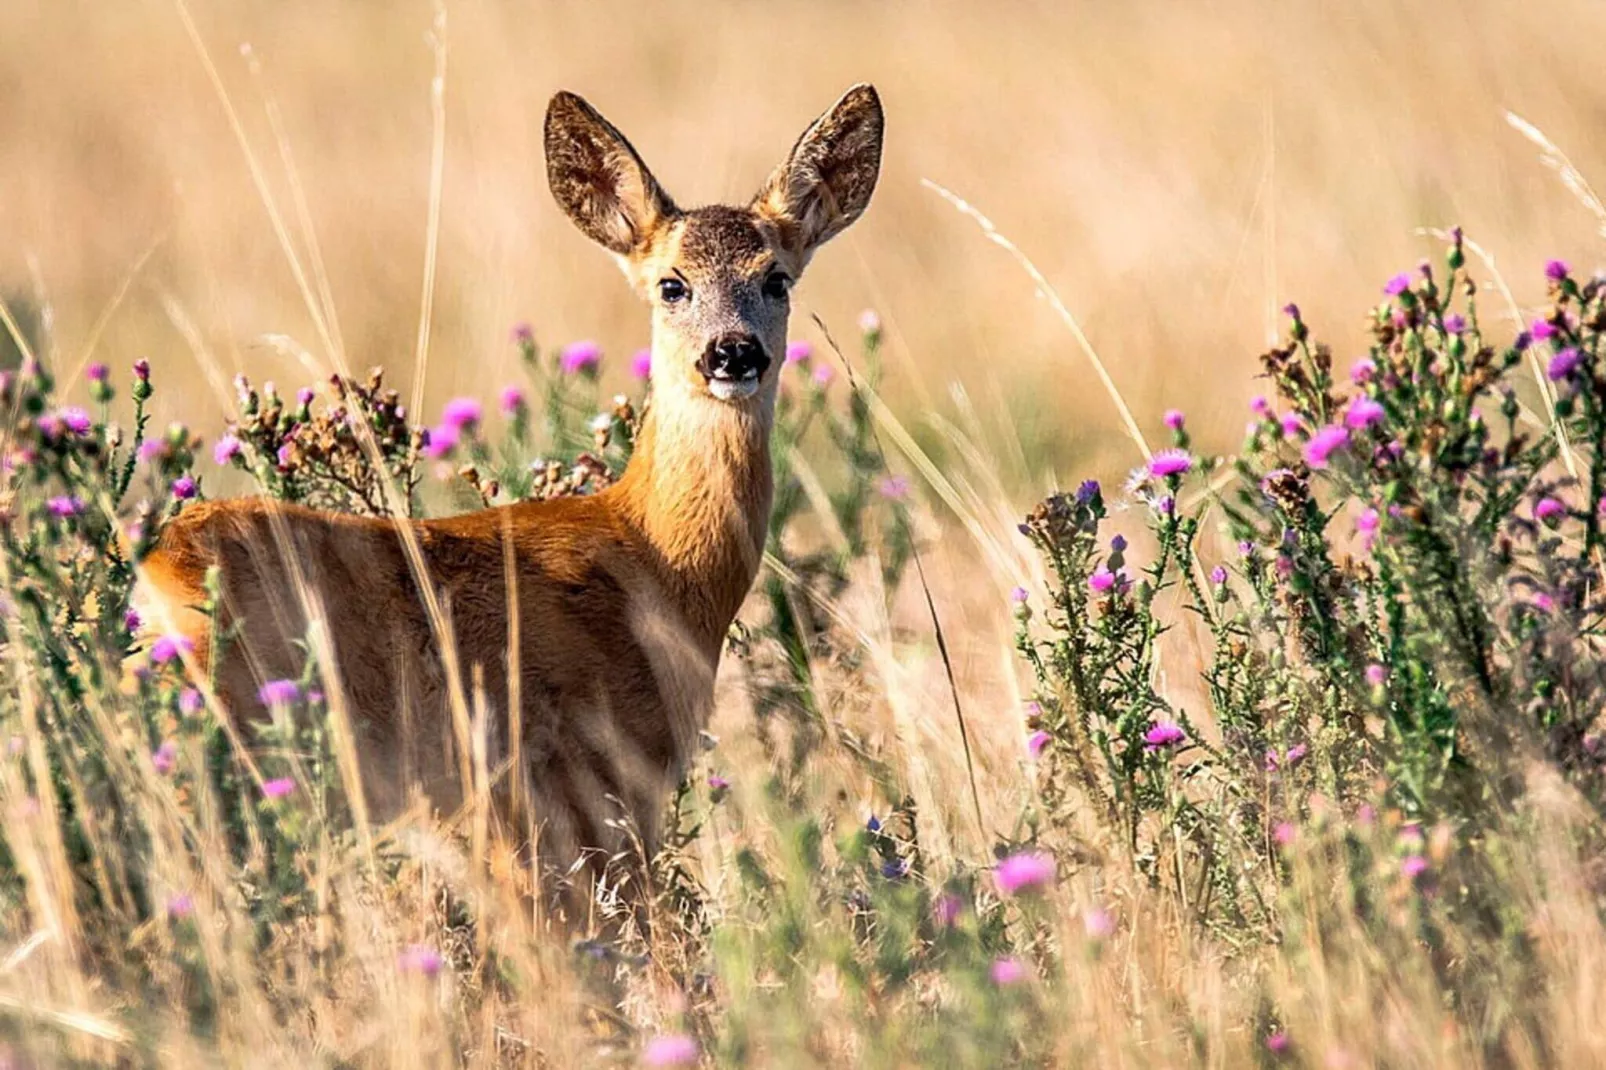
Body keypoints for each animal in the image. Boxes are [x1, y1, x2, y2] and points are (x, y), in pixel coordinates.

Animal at [134, 85, 892, 899]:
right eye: (672, 284)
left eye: (777, 278)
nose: (733, 353)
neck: (657, 562)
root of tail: (155, 572)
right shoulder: (582, 783)